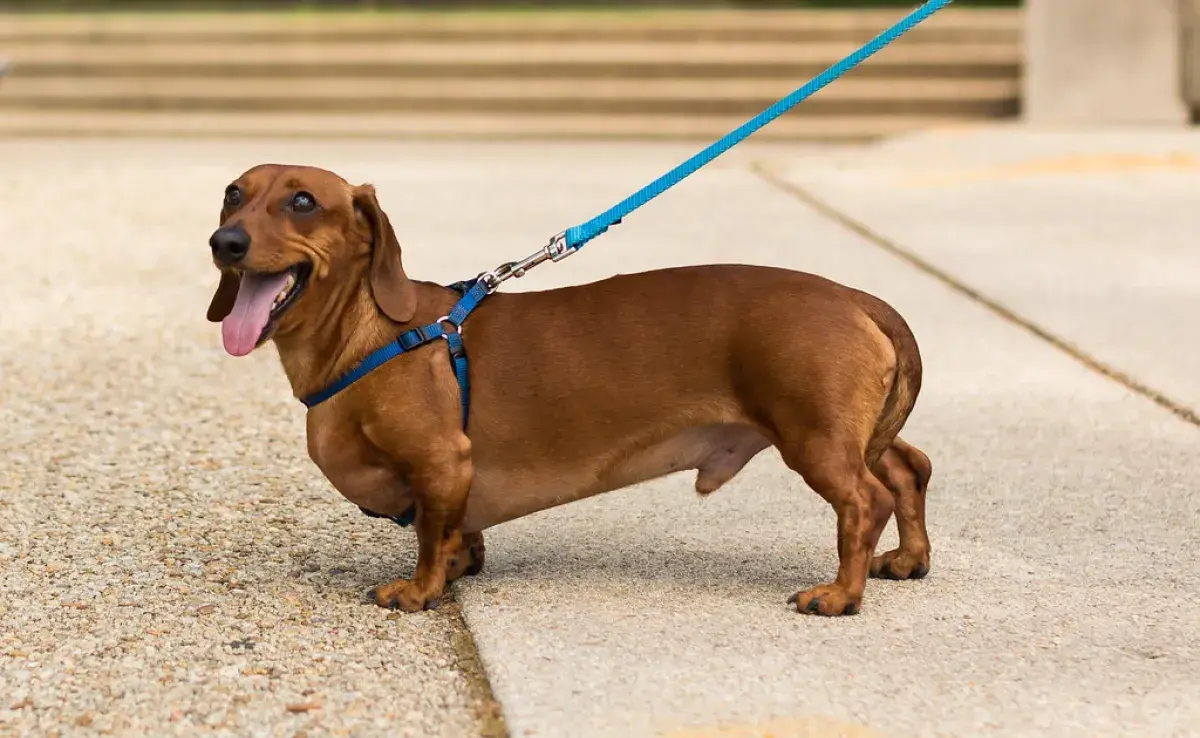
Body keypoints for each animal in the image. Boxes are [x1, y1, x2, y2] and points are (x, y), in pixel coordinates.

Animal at [206, 163, 931, 619]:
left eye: (303, 201)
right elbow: (455, 532)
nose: (224, 241)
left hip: (813, 436)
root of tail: (854, 295)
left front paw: (419, 590)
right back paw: (907, 559)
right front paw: (461, 563)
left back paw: (839, 595)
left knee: (865, 500)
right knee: (907, 468)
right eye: (232, 193)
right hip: (849, 434)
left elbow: (429, 535)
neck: (372, 333)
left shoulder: (441, 460)